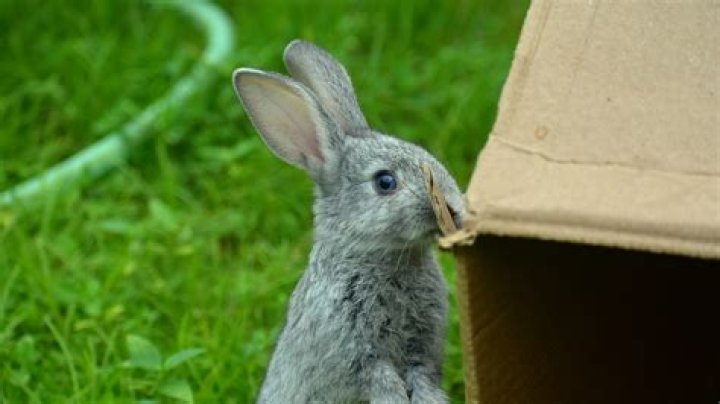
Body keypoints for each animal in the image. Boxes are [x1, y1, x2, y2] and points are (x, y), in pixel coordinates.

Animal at [232, 40, 465, 404]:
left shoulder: (422, 351)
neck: (378, 257)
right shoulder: (354, 351)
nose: (454, 208)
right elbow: (380, 378)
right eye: (385, 182)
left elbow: (422, 377)